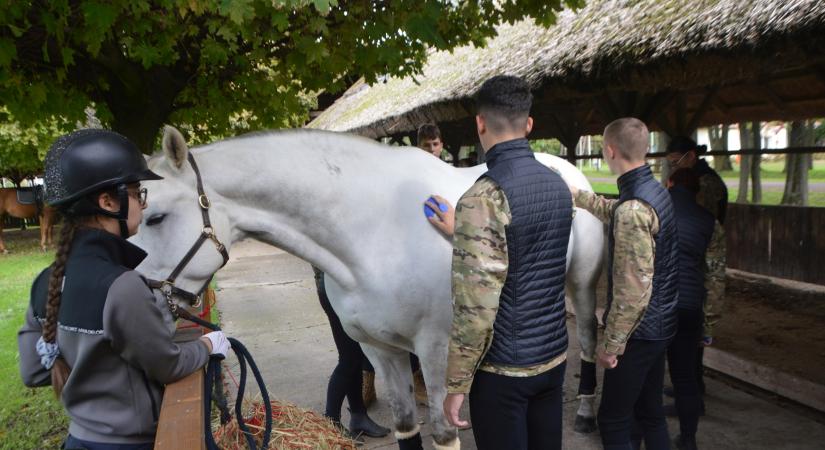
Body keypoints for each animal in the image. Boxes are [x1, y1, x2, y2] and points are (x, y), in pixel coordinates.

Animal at [132, 125, 600, 448]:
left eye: (155, 217)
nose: (140, 297)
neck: (374, 232)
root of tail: (563, 167)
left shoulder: (435, 350)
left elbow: (443, 431)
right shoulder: (379, 349)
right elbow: (406, 426)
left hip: (581, 286)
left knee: (591, 339)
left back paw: (587, 411)